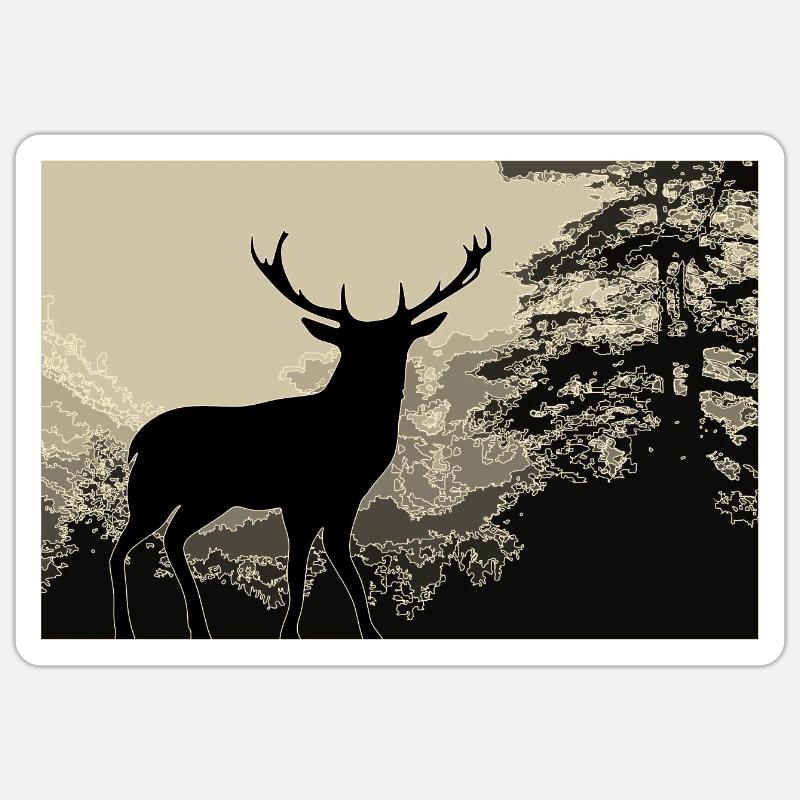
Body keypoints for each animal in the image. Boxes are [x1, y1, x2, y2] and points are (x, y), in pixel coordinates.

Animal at [109, 227, 492, 639]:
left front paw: (371, 633)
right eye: (350, 344)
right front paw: (289, 633)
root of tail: (138, 441)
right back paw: (125, 630)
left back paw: (199, 628)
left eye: (399, 340)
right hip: (155, 489)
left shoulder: (345, 501)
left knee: (172, 538)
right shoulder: (298, 499)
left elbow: (347, 568)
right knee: (123, 548)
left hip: (208, 497)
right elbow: (297, 570)